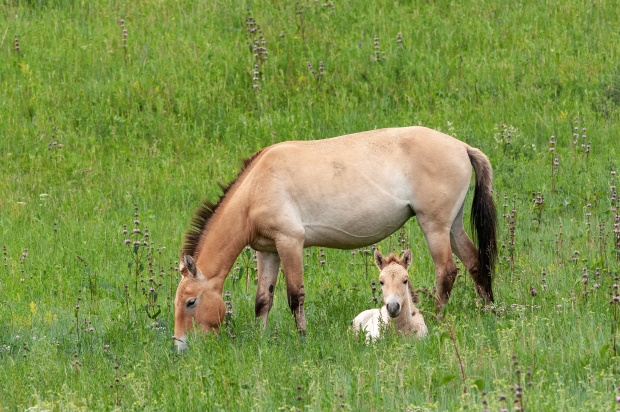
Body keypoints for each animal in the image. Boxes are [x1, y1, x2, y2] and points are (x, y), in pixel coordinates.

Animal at [173, 126, 498, 350]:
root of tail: (461, 147)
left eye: (190, 302)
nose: (180, 346)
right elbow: (263, 300)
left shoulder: (290, 243)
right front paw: (261, 339)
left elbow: (295, 296)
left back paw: (439, 317)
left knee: (447, 271)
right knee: (474, 262)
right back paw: (488, 310)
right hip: (452, 226)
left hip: (434, 226)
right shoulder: (267, 251)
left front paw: (302, 338)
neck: (257, 187)